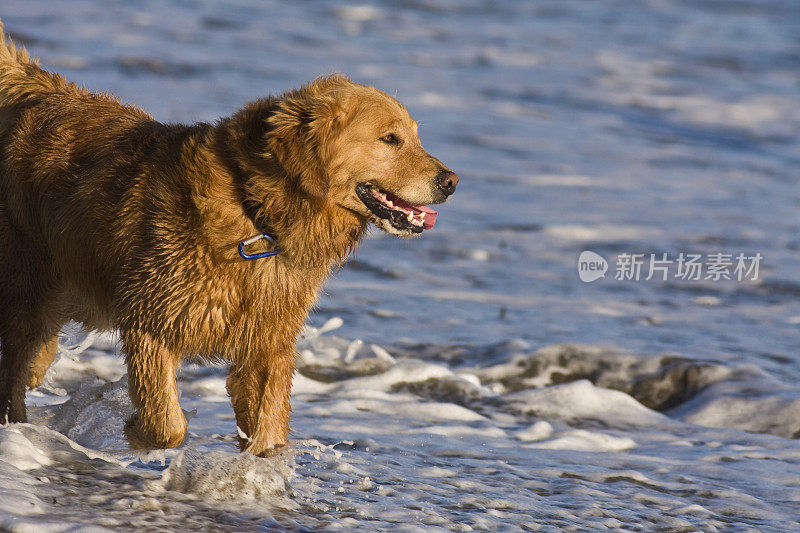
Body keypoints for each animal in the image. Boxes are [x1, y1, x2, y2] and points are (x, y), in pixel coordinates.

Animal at [0, 21, 456, 454]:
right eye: (390, 138)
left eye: (415, 136)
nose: (451, 182)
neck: (258, 214)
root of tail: (42, 87)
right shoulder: (151, 322)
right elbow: (168, 424)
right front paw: (135, 431)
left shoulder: (268, 345)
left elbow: (268, 434)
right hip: (27, 284)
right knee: (15, 361)